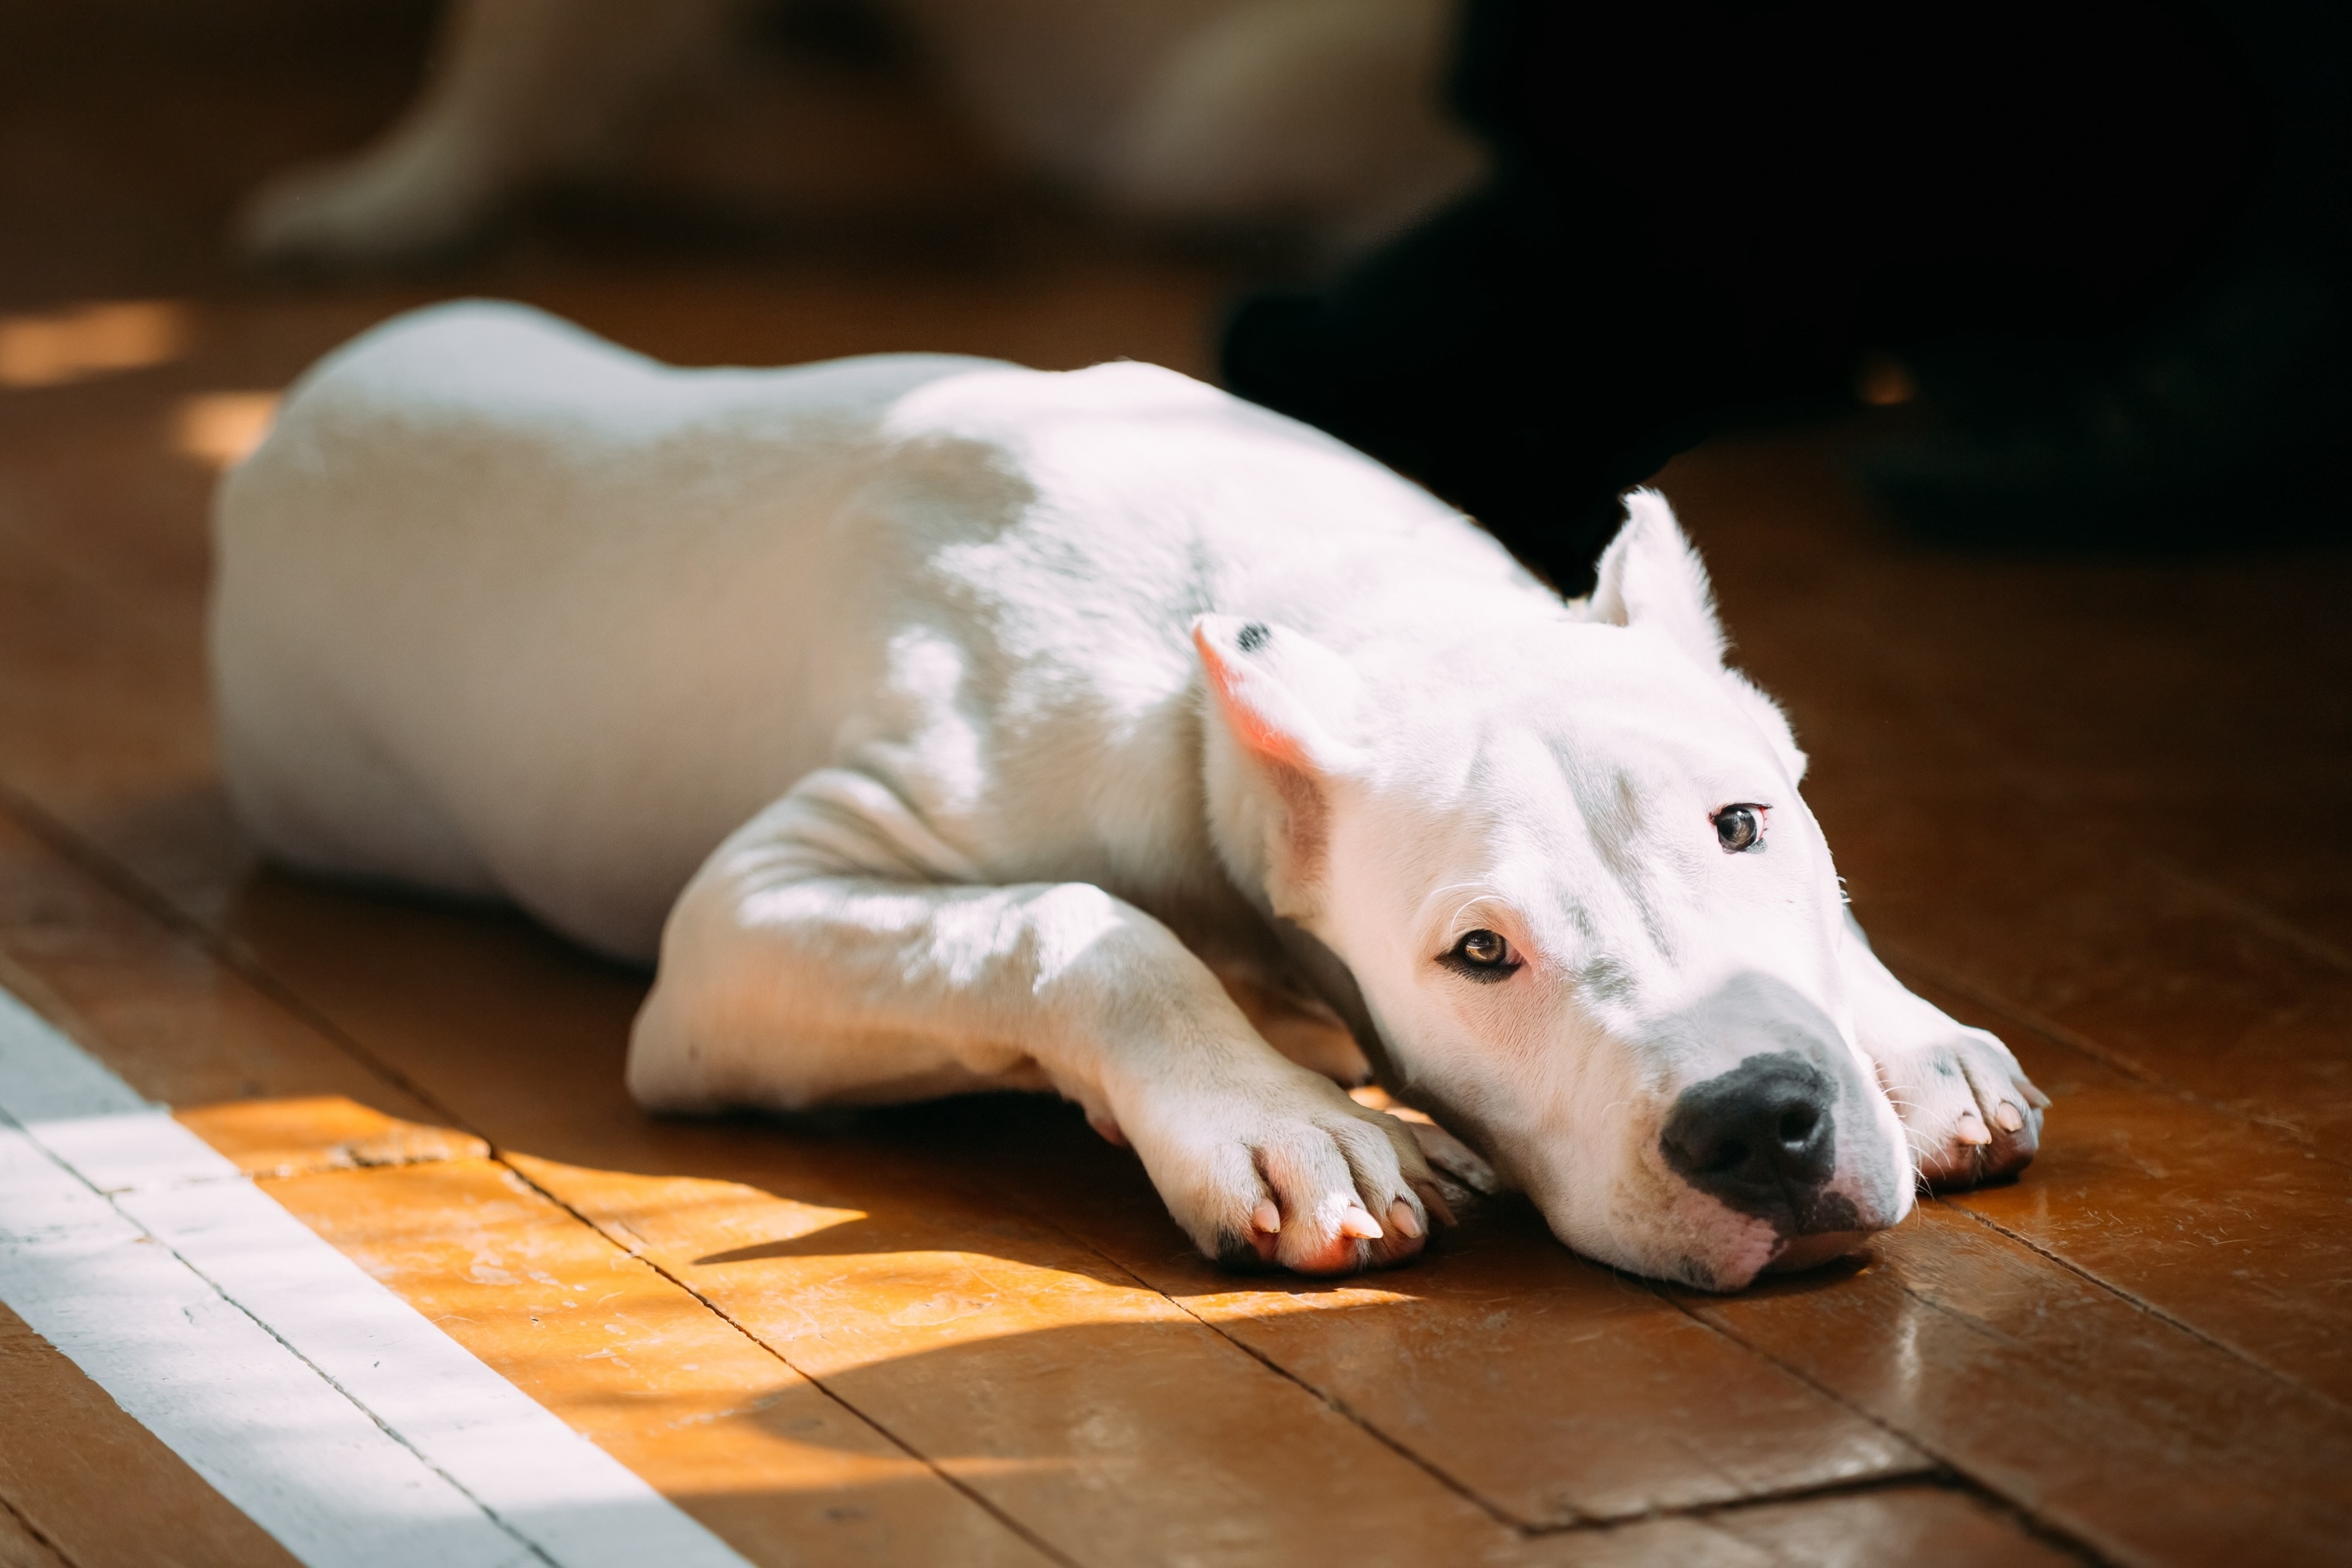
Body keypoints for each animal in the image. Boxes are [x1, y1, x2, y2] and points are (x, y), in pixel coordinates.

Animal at [212, 297, 2050, 1288]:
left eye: (1747, 826)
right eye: (1478, 955)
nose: (1759, 1125)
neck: (1339, 621)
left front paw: (1909, 1040)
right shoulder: (744, 923)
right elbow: (1073, 924)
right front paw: (1287, 1124)